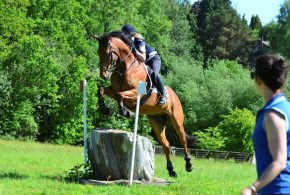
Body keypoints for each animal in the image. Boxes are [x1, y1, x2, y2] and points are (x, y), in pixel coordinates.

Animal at [95, 30, 194, 178]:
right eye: (98, 52)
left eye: (107, 53)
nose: (103, 75)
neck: (125, 67)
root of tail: (175, 95)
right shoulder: (113, 89)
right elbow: (102, 90)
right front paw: (103, 108)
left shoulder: (136, 93)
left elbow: (120, 95)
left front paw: (125, 112)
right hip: (156, 122)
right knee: (166, 144)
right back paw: (171, 170)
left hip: (176, 119)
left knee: (183, 139)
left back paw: (188, 164)